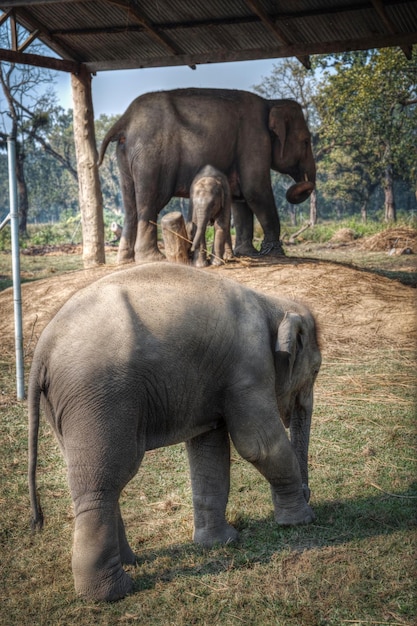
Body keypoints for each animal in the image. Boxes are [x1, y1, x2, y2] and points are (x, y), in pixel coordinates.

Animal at [28, 262, 322, 600]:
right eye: (316, 370)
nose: (309, 494)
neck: (272, 302)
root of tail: (43, 349)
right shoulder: (249, 367)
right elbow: (258, 445)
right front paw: (299, 522)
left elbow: (209, 450)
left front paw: (220, 543)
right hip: (99, 395)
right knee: (104, 478)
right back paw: (113, 592)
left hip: (65, 406)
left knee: (97, 474)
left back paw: (130, 562)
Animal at [98, 88, 316, 264]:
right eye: (306, 142)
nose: (304, 180)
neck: (271, 102)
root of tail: (125, 120)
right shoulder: (254, 138)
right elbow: (255, 190)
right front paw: (274, 254)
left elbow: (241, 198)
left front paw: (248, 253)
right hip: (150, 157)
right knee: (149, 202)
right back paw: (153, 259)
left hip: (125, 156)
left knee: (130, 206)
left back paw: (125, 261)